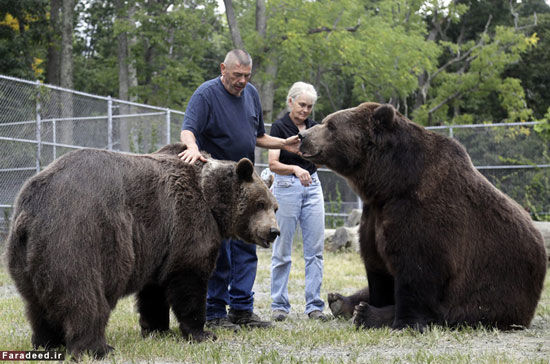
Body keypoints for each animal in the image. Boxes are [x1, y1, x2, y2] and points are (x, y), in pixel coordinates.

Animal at [4, 142, 280, 358]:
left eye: (274, 206)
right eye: (259, 203)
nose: (273, 231)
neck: (211, 199)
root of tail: (33, 208)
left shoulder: (159, 241)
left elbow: (154, 289)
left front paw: (156, 328)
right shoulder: (188, 222)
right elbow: (189, 278)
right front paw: (202, 332)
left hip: (25, 254)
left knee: (36, 302)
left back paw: (48, 342)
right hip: (79, 236)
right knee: (84, 297)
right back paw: (97, 348)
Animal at [300, 101, 548, 330]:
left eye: (331, 125)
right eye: (326, 121)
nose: (303, 136)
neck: (389, 183)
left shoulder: (422, 212)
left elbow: (417, 272)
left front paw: (396, 319)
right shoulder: (375, 213)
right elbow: (376, 266)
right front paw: (369, 304)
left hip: (496, 292)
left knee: (455, 312)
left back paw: (364, 312)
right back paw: (340, 301)